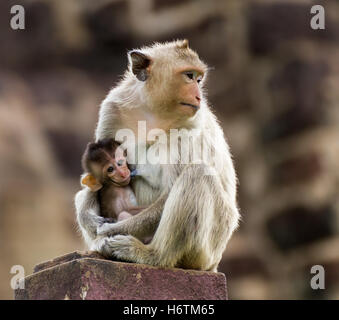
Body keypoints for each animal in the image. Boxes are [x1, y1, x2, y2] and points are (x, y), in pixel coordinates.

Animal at [75, 38, 239, 272]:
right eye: (190, 76)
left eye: (199, 78)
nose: (199, 95)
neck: (155, 113)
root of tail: (214, 264)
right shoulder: (112, 110)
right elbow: (93, 181)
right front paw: (90, 220)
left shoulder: (188, 127)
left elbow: (167, 194)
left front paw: (108, 230)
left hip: (210, 246)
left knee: (197, 174)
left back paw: (151, 255)